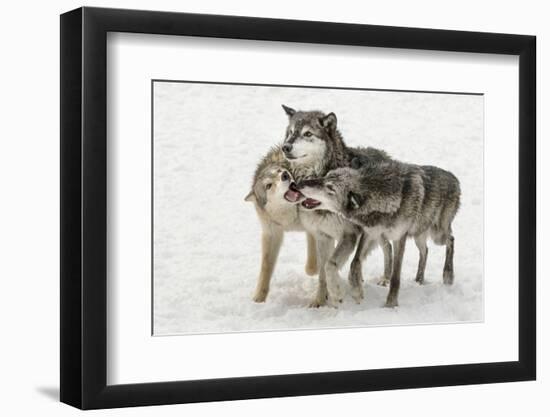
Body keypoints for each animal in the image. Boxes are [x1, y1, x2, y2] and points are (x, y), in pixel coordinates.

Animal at [298, 158, 462, 306]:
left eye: (330, 188)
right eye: (325, 176)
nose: (299, 184)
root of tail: (454, 178)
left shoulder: (399, 238)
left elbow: (396, 277)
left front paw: (391, 304)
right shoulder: (369, 233)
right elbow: (355, 263)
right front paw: (357, 292)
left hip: (437, 235)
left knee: (451, 239)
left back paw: (448, 275)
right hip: (416, 235)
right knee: (425, 250)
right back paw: (419, 279)